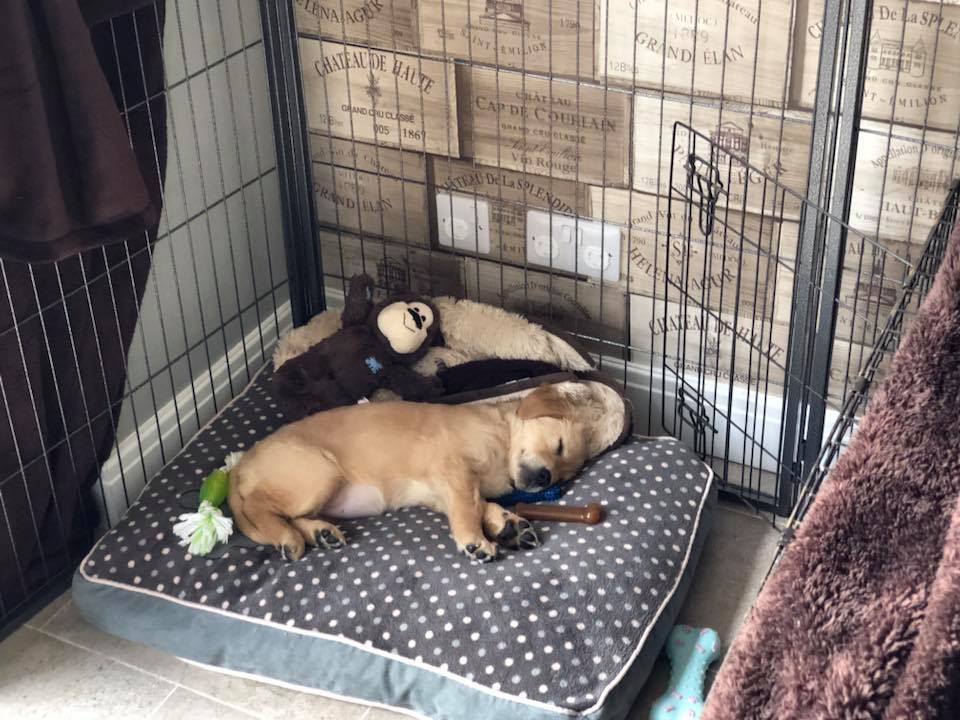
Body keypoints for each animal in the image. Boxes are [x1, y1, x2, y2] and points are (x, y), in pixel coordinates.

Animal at [231, 382, 592, 564]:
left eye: (564, 474)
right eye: (559, 446)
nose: (546, 479)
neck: (502, 438)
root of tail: (240, 467)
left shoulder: (445, 492)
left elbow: (480, 506)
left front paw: (508, 525)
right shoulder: (453, 469)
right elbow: (468, 509)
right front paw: (475, 541)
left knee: (290, 515)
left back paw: (322, 533)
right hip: (318, 472)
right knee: (259, 508)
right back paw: (287, 538)